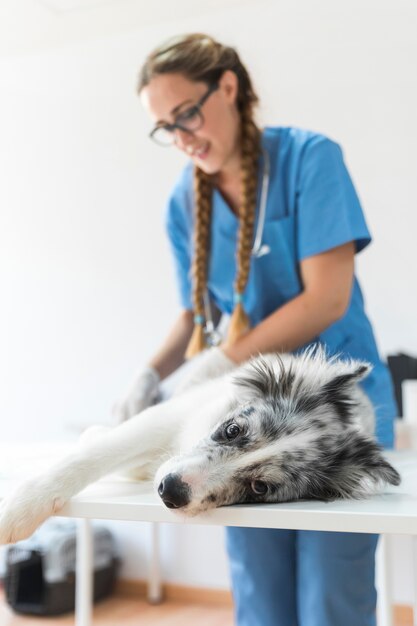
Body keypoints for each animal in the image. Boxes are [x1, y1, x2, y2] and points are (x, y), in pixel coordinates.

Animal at [0, 344, 398, 544]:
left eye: (260, 487)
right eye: (232, 430)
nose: (169, 490)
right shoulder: (167, 417)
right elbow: (92, 456)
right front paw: (19, 510)